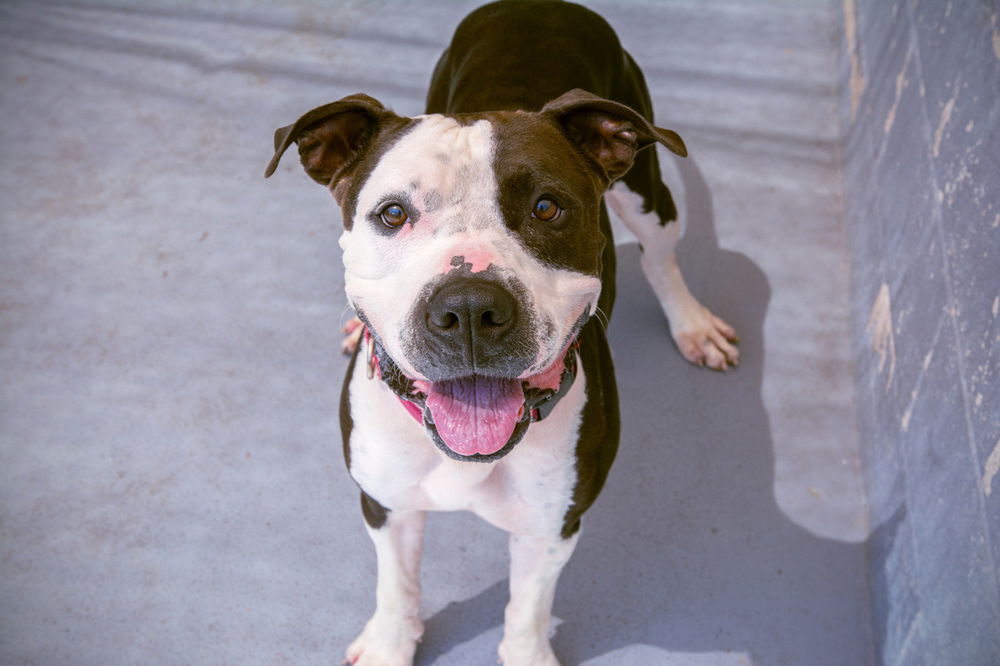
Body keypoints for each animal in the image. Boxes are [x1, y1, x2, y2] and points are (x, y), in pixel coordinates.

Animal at [264, 1, 736, 664]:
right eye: (392, 214)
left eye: (547, 208)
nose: (468, 309)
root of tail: (537, 5)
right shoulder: (386, 503)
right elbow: (396, 585)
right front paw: (389, 644)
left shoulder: (553, 526)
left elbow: (528, 608)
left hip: (646, 183)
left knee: (661, 253)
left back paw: (692, 324)